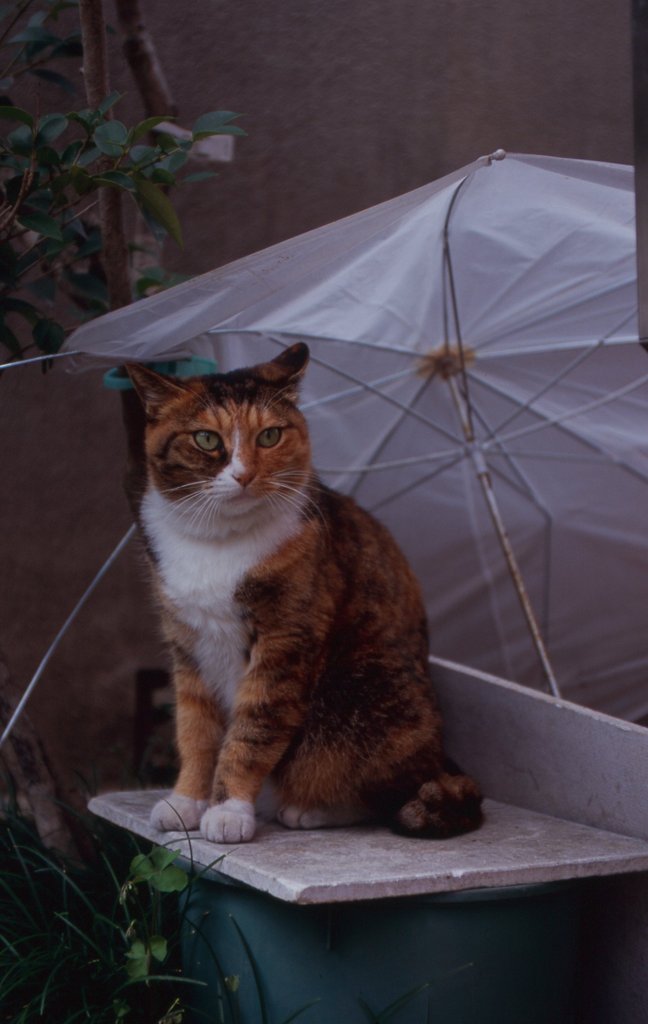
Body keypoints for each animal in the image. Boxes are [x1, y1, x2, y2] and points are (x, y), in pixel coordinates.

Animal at [126, 344, 481, 839]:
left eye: (270, 435)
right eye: (207, 440)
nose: (243, 475)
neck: (218, 542)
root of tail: (441, 758)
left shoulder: (286, 640)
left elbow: (252, 730)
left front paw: (229, 809)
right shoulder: (186, 644)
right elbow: (194, 730)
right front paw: (187, 801)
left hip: (360, 700)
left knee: (379, 790)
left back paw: (308, 810)